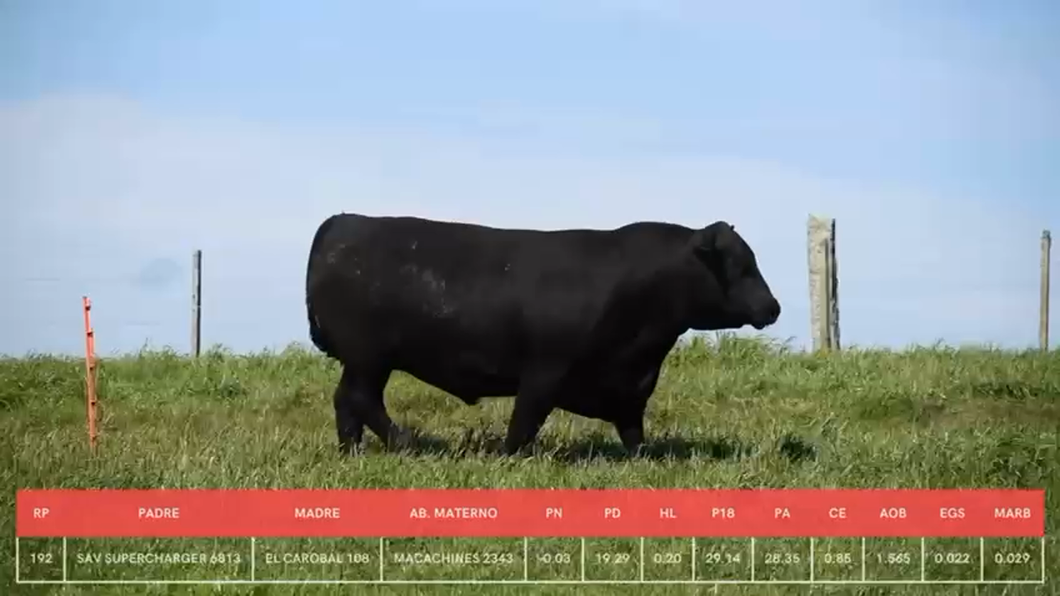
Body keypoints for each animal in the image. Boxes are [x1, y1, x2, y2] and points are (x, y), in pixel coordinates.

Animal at [303, 211, 784, 451]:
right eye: (742, 265)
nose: (773, 306)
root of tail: (342, 222)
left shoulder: (630, 384)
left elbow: (632, 428)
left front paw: (644, 460)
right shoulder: (545, 369)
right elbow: (526, 419)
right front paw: (510, 456)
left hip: (365, 360)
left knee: (347, 401)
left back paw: (352, 451)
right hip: (369, 356)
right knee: (360, 398)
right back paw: (403, 441)